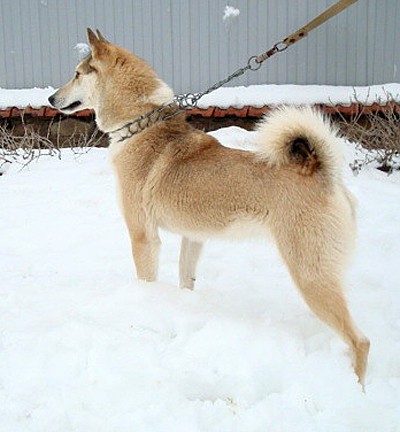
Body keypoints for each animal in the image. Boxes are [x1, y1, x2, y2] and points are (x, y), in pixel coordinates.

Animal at [49, 29, 370, 385]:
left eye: (77, 74)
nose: (50, 99)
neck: (140, 124)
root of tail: (321, 170)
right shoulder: (193, 237)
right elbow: (185, 278)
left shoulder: (143, 236)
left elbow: (146, 280)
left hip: (309, 275)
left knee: (361, 341)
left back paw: (356, 385)